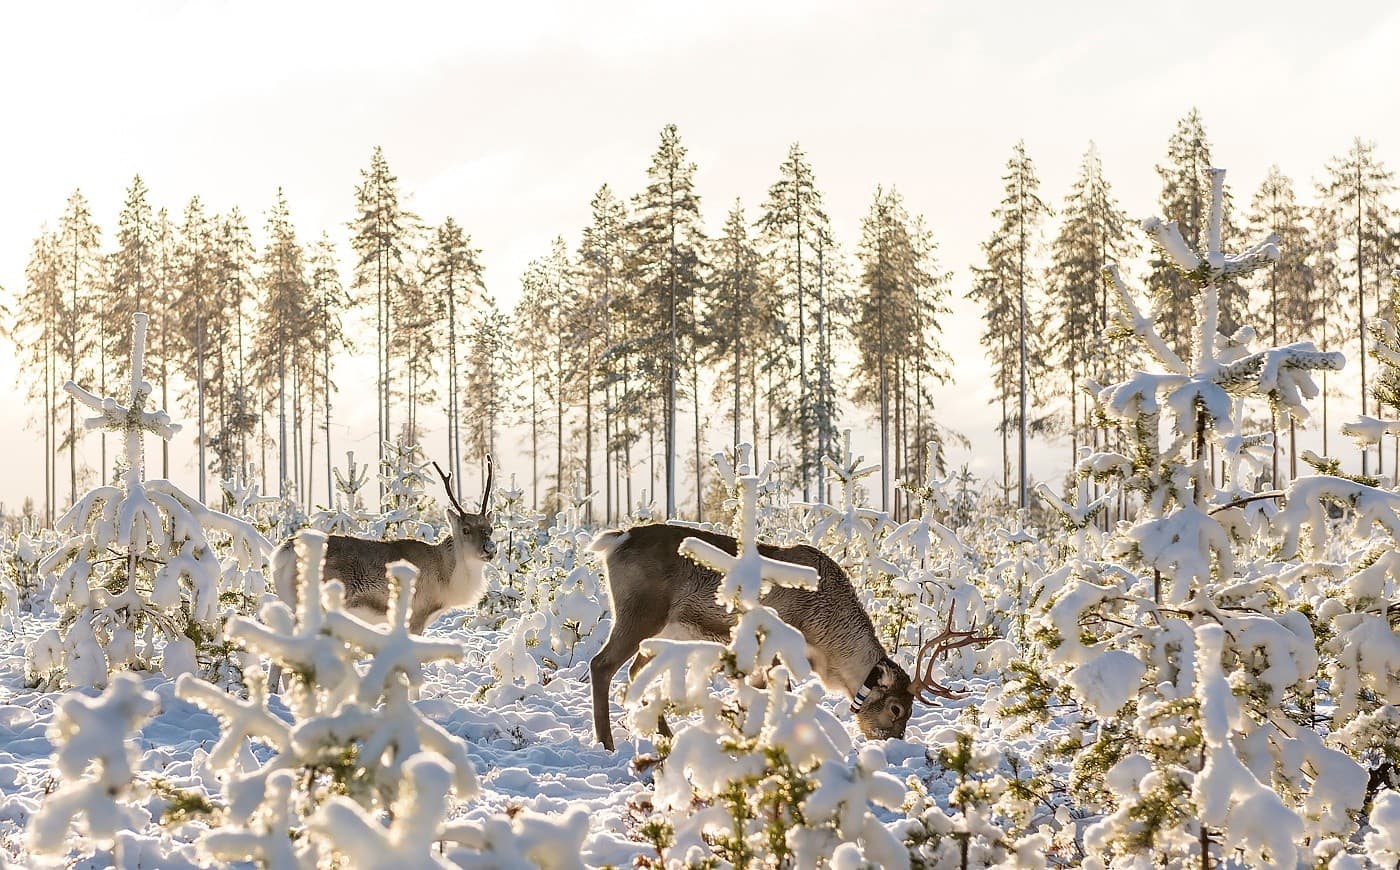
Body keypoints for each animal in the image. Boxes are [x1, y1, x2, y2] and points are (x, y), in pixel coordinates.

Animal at [266, 457, 497, 690]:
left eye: (490, 528)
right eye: (466, 529)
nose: (490, 549)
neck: (446, 575)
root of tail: (284, 551)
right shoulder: (416, 616)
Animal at [587, 522, 987, 751]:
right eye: (896, 709)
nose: (894, 746)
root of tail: (617, 540)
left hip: (667, 632)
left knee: (635, 672)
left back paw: (666, 736)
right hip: (640, 614)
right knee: (601, 664)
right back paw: (607, 743)